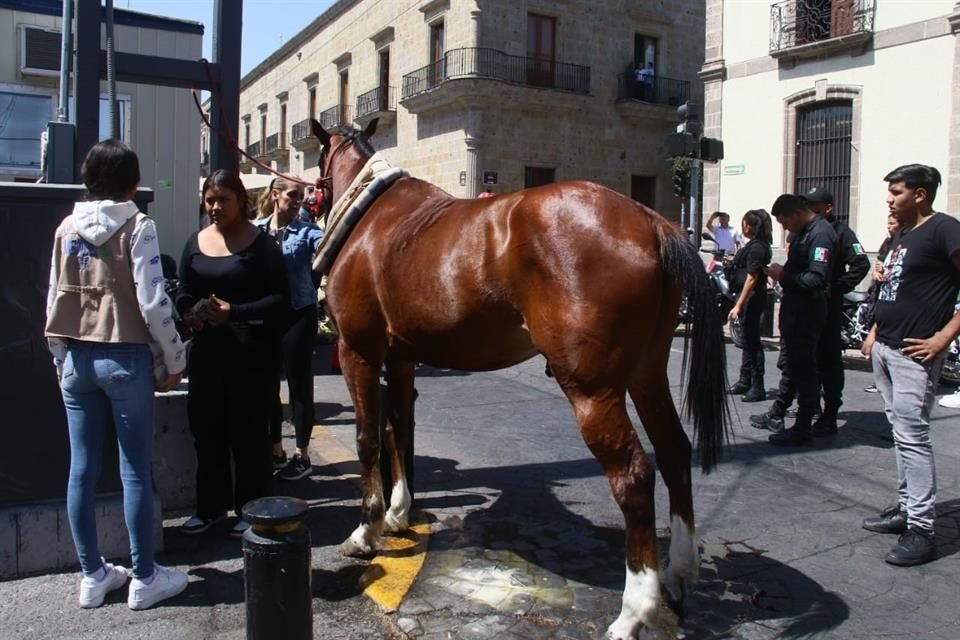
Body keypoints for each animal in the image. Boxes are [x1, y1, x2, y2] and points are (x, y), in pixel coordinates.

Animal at [314, 120, 728, 640]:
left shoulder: (359, 352)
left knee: (634, 475)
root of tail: (652, 222)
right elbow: (399, 432)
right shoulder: (402, 357)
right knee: (673, 451)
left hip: (592, 390)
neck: (371, 218)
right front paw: (398, 511)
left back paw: (635, 610)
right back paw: (678, 572)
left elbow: (369, 438)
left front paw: (366, 530)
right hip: (646, 372)